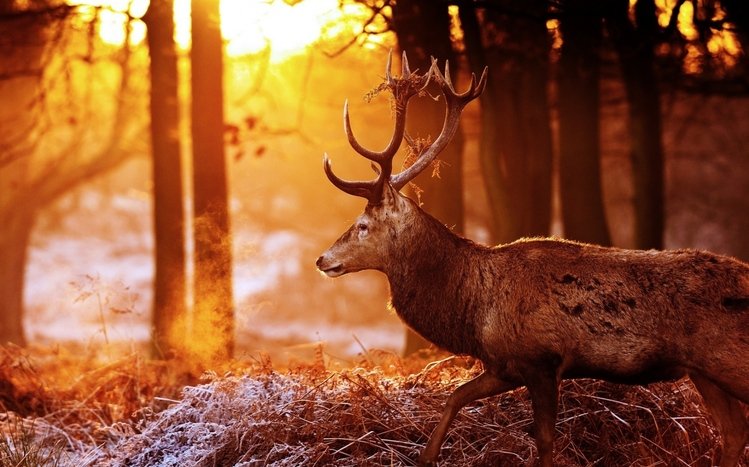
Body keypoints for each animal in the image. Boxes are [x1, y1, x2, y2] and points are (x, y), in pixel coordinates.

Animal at [315, 52, 749, 467]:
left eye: (362, 225)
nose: (322, 259)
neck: (475, 309)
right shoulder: (503, 364)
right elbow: (455, 396)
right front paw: (426, 456)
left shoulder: (541, 359)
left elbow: (543, 441)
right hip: (705, 373)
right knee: (733, 434)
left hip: (729, 360)